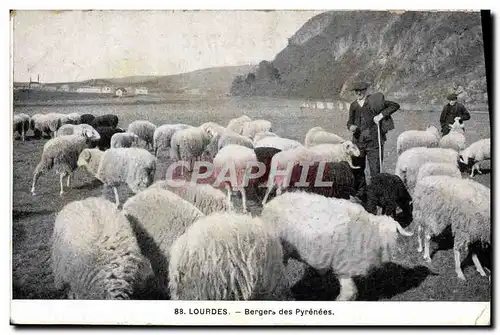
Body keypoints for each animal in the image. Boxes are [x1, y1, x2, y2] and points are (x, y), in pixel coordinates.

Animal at [260, 192, 412, 302]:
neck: (370, 230)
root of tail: (270, 204)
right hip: (279, 251)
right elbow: (349, 292)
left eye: (395, 234)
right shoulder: (344, 265)